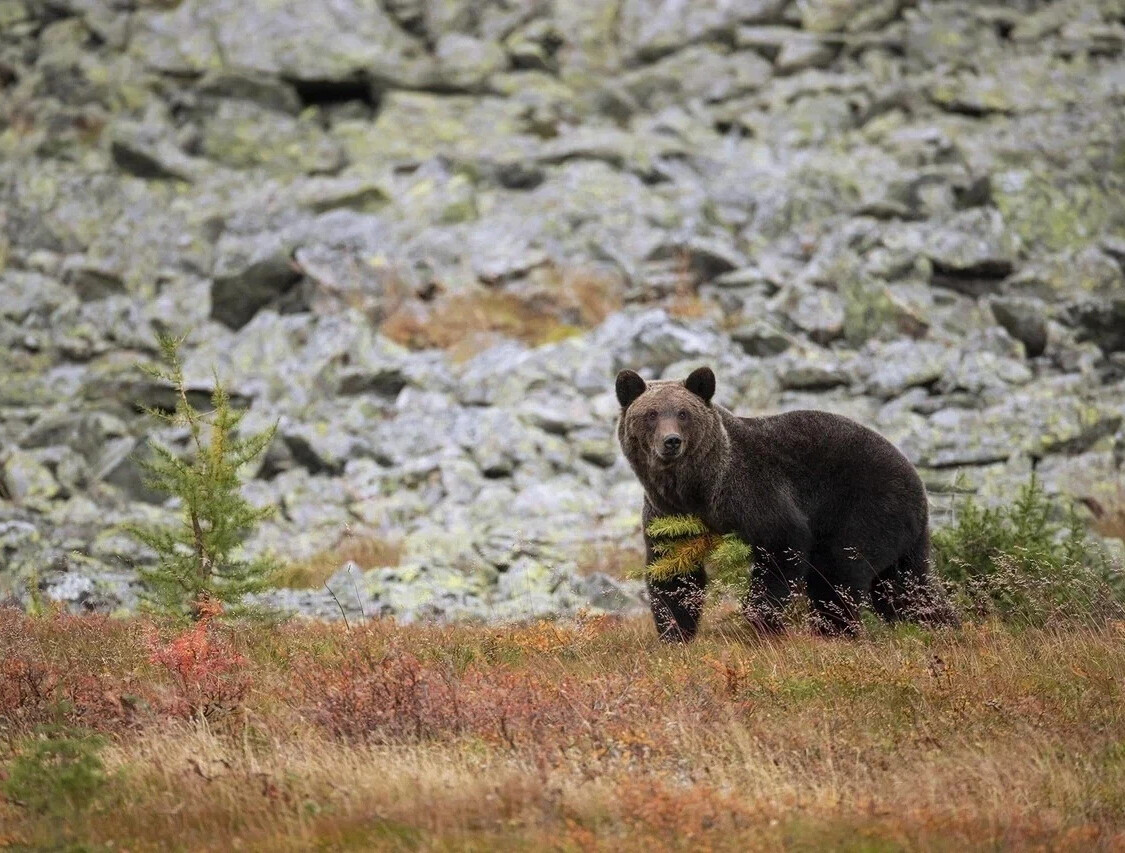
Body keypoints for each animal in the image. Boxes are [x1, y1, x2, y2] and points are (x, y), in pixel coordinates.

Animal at [616, 366, 949, 639]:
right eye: (651, 414)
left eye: (683, 413)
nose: (671, 441)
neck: (695, 488)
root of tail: (917, 479)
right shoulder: (668, 515)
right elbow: (673, 574)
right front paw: (674, 631)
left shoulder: (751, 491)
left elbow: (781, 545)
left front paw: (761, 617)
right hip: (902, 536)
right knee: (905, 587)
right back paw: (939, 624)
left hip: (866, 508)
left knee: (838, 572)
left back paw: (834, 632)